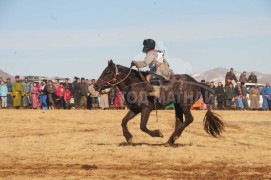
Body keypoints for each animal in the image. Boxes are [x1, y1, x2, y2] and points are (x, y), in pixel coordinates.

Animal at [94, 60, 224, 146]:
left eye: (108, 72)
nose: (95, 86)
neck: (134, 84)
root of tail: (197, 82)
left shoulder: (146, 109)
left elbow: (142, 126)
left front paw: (158, 133)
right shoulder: (135, 109)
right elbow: (124, 121)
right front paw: (129, 138)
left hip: (184, 105)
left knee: (189, 119)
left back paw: (173, 138)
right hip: (178, 106)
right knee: (179, 121)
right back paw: (171, 140)